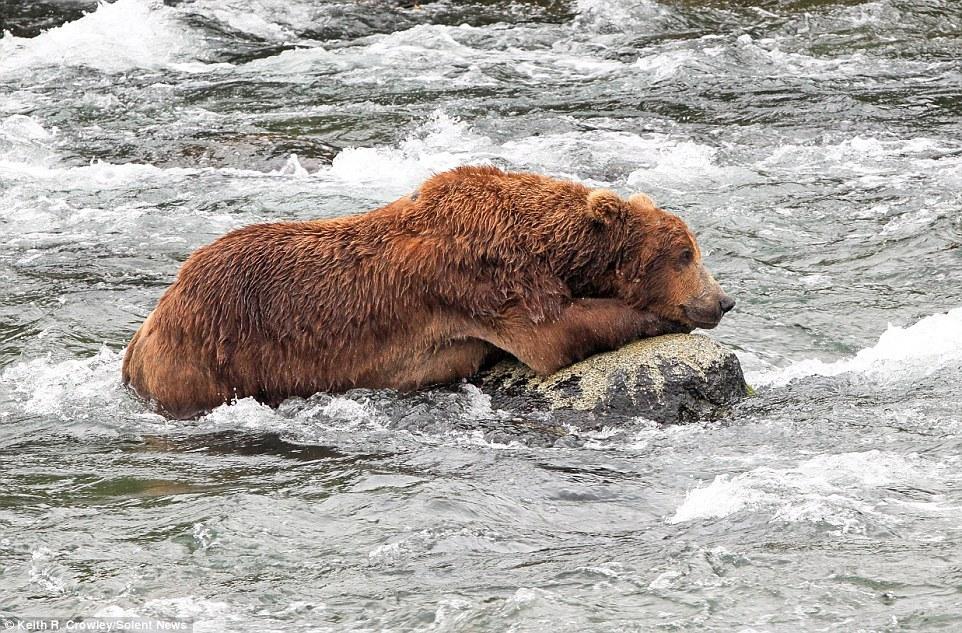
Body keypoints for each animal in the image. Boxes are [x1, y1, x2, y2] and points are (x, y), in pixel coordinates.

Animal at [122, 165, 736, 418]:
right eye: (686, 254)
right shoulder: (484, 279)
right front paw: (657, 315)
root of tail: (148, 326)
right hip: (208, 357)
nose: (722, 300)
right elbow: (555, 333)